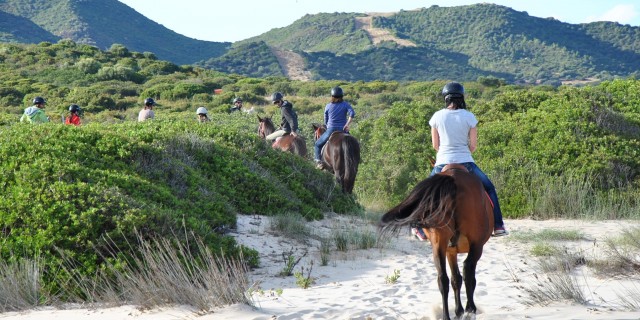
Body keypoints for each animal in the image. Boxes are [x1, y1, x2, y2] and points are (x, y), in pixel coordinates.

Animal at [378, 165, 492, 320]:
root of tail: (453, 177)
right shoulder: (465, 248)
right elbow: (462, 278)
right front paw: (462, 310)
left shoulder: (450, 251)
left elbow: (455, 279)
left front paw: (458, 311)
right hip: (476, 245)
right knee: (468, 271)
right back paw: (470, 309)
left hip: (438, 244)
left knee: (442, 278)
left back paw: (447, 315)